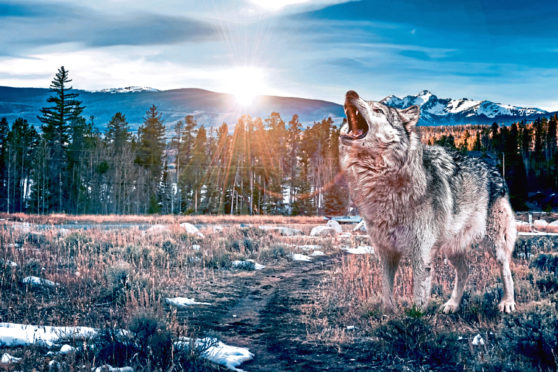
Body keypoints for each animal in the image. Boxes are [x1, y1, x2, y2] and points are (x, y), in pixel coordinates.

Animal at [340, 90, 520, 314]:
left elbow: (418, 295)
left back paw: (507, 302)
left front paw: (415, 317)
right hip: (453, 247)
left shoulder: (421, 252)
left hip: (495, 244)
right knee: (465, 271)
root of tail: (495, 169)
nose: (350, 93)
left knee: (506, 270)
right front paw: (389, 313)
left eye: (378, 110)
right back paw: (452, 305)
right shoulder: (386, 251)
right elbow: (387, 288)